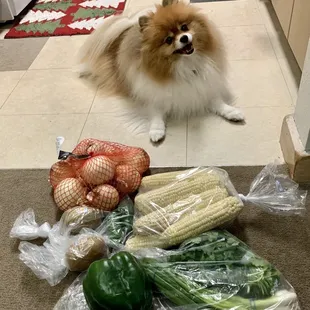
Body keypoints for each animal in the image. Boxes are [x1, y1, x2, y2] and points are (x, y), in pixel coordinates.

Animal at [76, 0, 243, 143]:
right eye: (168, 40)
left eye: (184, 27)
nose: (184, 38)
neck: (184, 64)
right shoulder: (152, 92)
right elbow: (155, 111)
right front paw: (156, 130)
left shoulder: (201, 85)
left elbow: (216, 101)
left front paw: (231, 112)